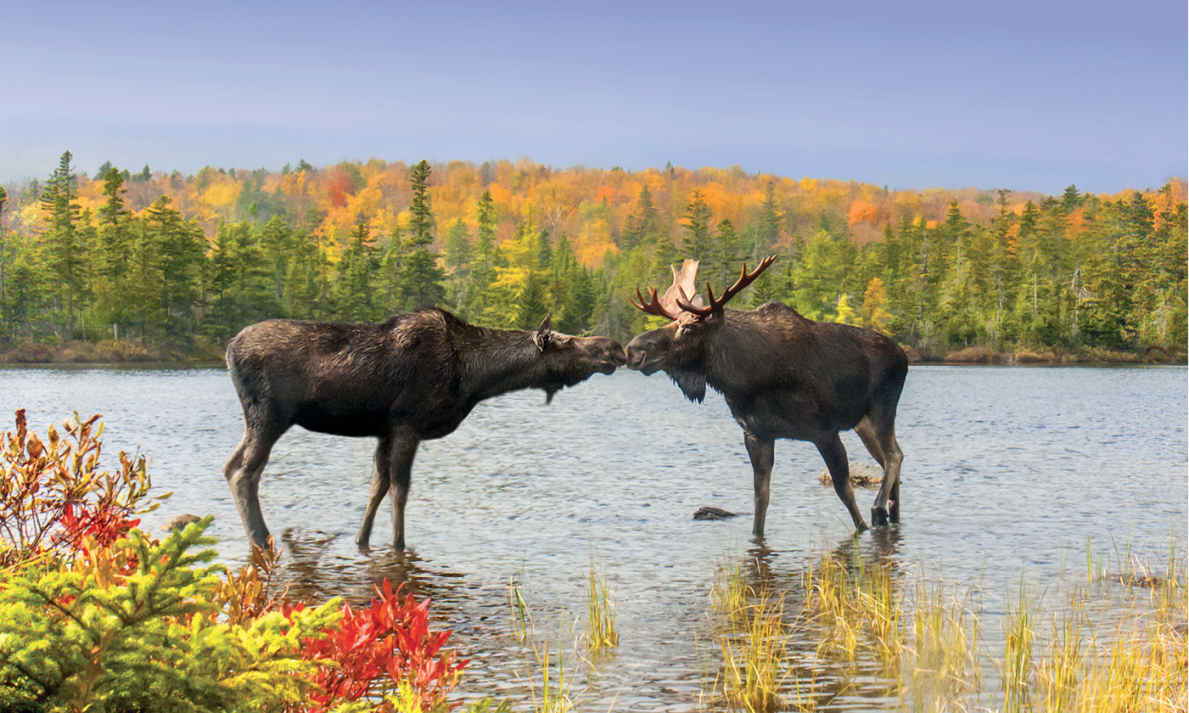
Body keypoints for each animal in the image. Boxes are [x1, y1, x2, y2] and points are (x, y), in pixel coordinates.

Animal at [225, 306, 627, 551]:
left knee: (231, 467)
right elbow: (400, 490)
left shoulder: (385, 431)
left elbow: (377, 487)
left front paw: (362, 541)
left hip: (257, 421)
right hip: (269, 416)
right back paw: (262, 539)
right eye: (567, 341)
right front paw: (399, 545)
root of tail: (228, 348)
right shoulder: (408, 424)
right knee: (244, 473)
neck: (476, 377)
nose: (616, 348)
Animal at [627, 256, 903, 534]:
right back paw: (892, 513)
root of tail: (903, 354)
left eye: (688, 328)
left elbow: (845, 493)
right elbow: (761, 500)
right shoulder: (757, 434)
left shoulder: (824, 431)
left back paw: (878, 508)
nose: (632, 350)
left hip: (882, 409)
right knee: (889, 460)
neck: (746, 379)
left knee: (894, 456)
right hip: (862, 424)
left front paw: (864, 525)